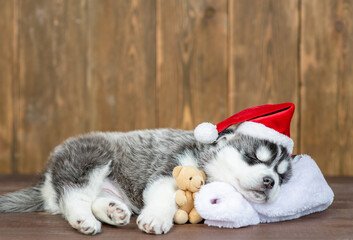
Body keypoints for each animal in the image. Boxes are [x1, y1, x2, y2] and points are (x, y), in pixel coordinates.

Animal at [0, 124, 292, 235]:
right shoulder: (170, 170)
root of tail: (46, 181)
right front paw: (156, 218)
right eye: (253, 157)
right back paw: (84, 220)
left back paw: (113, 211)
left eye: (281, 175)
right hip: (90, 157)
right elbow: (164, 197)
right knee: (74, 195)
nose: (270, 181)